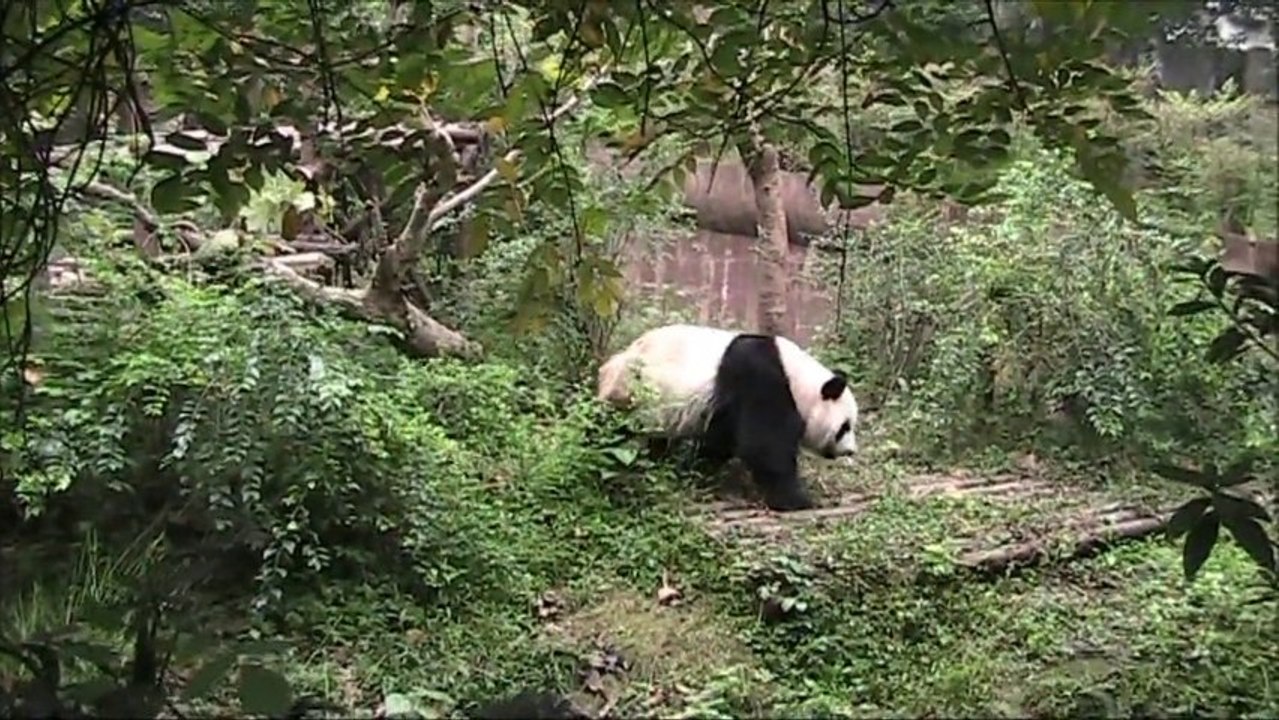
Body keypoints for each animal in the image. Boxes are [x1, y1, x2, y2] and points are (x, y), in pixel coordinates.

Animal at [596, 323, 859, 511]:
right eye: (845, 427)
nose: (851, 451)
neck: (797, 378)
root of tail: (610, 366)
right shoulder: (759, 377)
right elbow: (764, 444)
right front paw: (797, 499)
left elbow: (721, 439)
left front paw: (697, 470)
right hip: (632, 390)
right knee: (612, 429)